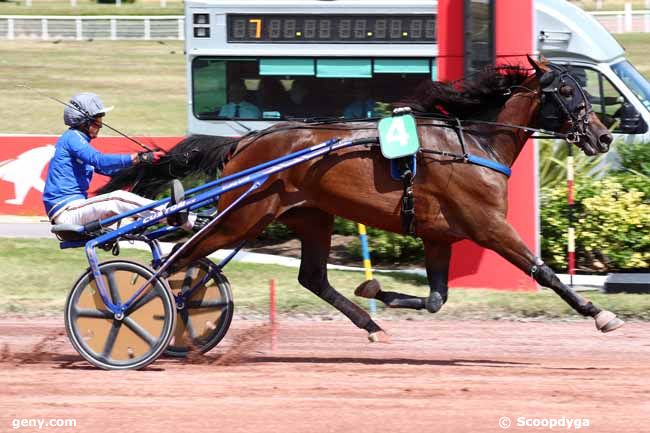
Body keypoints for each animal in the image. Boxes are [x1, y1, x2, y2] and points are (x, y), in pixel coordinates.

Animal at [98, 56, 620, 340]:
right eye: (568, 90)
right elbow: (544, 271)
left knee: (310, 277)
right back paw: (140, 310)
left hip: (310, 216)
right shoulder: (488, 225)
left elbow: (436, 298)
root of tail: (244, 142)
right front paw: (600, 314)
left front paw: (375, 291)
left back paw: (370, 325)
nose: (603, 136)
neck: (471, 142)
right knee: (180, 257)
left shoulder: (438, 235)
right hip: (243, 214)